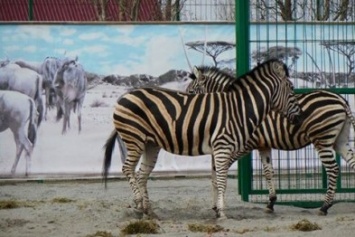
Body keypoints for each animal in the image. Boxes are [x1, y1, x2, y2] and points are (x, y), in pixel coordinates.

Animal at [103, 58, 304, 218]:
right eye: (292, 88)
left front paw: (217, 208)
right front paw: (221, 212)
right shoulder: (224, 147)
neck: (239, 109)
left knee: (141, 174)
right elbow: (221, 179)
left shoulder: (221, 149)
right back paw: (138, 203)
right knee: (127, 169)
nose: (300, 118)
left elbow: (217, 178)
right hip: (134, 138)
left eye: (192, 92)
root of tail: (125, 95)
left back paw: (147, 210)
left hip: (150, 144)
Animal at [185, 65, 355, 216]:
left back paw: (324, 207)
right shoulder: (263, 145)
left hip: (322, 140)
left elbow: (221, 171)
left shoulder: (244, 145)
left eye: (191, 92)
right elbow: (268, 172)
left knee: (333, 169)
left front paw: (217, 206)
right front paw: (271, 203)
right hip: (340, 140)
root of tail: (341, 99)